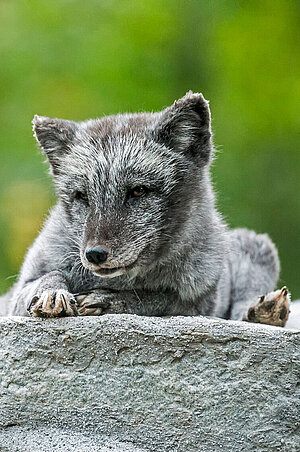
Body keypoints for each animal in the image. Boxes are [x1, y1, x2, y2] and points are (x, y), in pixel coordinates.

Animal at [0, 92, 292, 324]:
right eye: (81, 196)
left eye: (138, 191)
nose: (94, 254)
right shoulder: (15, 295)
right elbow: (47, 277)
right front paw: (52, 292)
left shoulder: (198, 303)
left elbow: (156, 299)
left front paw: (113, 301)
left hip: (257, 248)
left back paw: (265, 311)